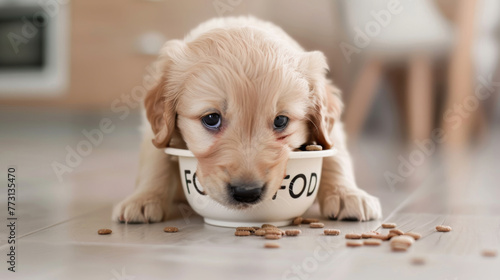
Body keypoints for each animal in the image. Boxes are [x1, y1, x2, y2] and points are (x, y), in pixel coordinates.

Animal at [111, 17, 380, 223]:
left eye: (281, 121)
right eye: (212, 119)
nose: (247, 193)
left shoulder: (331, 130)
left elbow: (336, 156)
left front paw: (347, 196)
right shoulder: (154, 131)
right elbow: (155, 160)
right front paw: (143, 200)